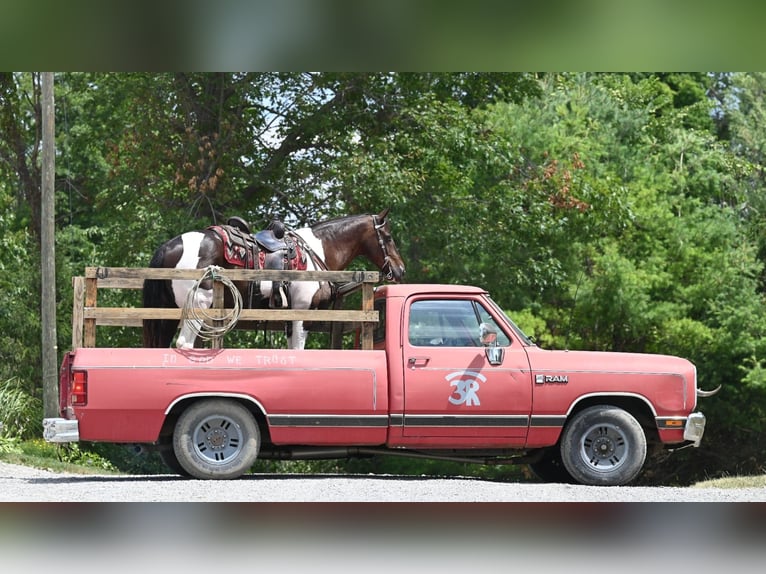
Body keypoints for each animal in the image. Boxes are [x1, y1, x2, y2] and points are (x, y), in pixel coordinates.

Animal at [144, 208, 408, 352]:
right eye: (388, 237)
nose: (401, 270)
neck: (317, 252)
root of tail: (169, 246)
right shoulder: (304, 311)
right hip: (199, 304)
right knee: (184, 345)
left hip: (167, 313)